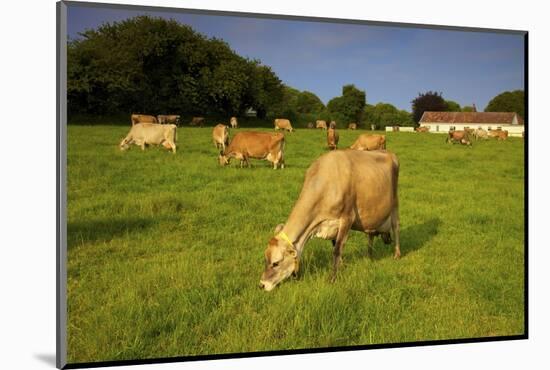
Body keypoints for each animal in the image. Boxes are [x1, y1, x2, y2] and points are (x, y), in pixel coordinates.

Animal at [258, 149, 402, 290]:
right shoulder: (332, 225)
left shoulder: (347, 218)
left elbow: (337, 249)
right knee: (370, 234)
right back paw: (369, 256)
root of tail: (388, 153)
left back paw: (397, 254)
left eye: (276, 263)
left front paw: (333, 278)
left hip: (394, 204)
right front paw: (342, 266)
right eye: (265, 259)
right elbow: (335, 245)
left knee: (396, 228)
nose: (262, 284)